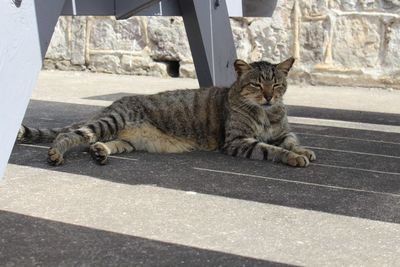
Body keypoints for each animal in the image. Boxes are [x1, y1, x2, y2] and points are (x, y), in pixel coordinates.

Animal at [16, 58, 316, 168]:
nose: (268, 95)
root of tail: (110, 105)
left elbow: (291, 140)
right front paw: (293, 157)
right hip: (108, 122)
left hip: (126, 140)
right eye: (256, 84)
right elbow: (272, 149)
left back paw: (100, 152)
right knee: (69, 135)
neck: (266, 113)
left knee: (99, 143)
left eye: (276, 84)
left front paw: (303, 150)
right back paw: (57, 153)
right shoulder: (238, 141)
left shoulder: (282, 131)